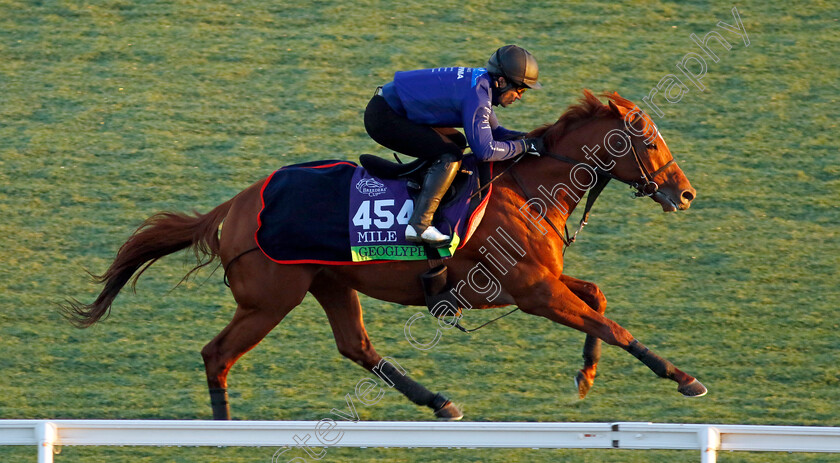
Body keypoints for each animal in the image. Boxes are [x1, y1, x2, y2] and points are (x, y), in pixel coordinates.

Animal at [65, 90, 704, 420]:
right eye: (649, 141)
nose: (685, 193)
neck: (527, 189)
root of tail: (238, 204)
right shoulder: (529, 291)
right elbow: (611, 323)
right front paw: (682, 376)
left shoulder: (539, 283)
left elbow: (597, 299)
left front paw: (586, 374)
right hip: (271, 299)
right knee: (217, 354)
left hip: (329, 284)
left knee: (356, 346)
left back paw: (440, 402)